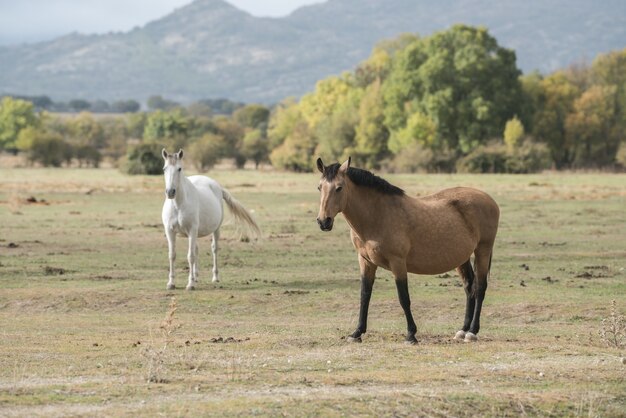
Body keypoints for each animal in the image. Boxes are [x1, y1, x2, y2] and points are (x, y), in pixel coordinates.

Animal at [162, 149, 260, 290]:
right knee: (196, 249)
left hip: (215, 230)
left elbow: (190, 256)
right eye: (164, 169)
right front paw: (171, 283)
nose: (170, 192)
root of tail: (217, 186)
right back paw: (196, 276)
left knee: (214, 249)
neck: (178, 204)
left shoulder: (192, 230)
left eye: (179, 169)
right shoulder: (170, 231)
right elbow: (172, 255)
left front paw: (190, 284)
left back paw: (215, 277)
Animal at [314, 157, 500, 342]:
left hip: (483, 250)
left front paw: (411, 334)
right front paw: (357, 332)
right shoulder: (365, 261)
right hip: (462, 258)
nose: (324, 221)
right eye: (319, 187)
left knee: (480, 287)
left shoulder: (398, 262)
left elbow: (404, 298)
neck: (378, 215)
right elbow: (364, 295)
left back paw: (472, 332)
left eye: (339, 187)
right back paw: (463, 330)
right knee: (469, 288)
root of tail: (488, 199)